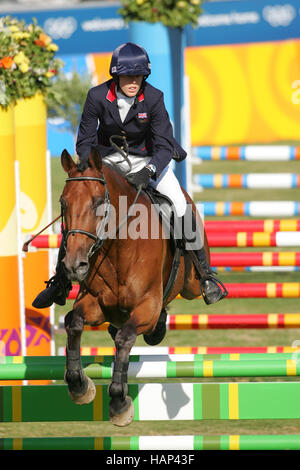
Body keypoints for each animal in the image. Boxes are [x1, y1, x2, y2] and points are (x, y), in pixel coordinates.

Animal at [60, 147, 211, 426]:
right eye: (63, 203)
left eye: (98, 203)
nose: (74, 265)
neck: (119, 246)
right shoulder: (97, 303)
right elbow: (73, 321)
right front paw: (79, 386)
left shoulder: (147, 306)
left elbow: (125, 337)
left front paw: (119, 402)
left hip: (192, 285)